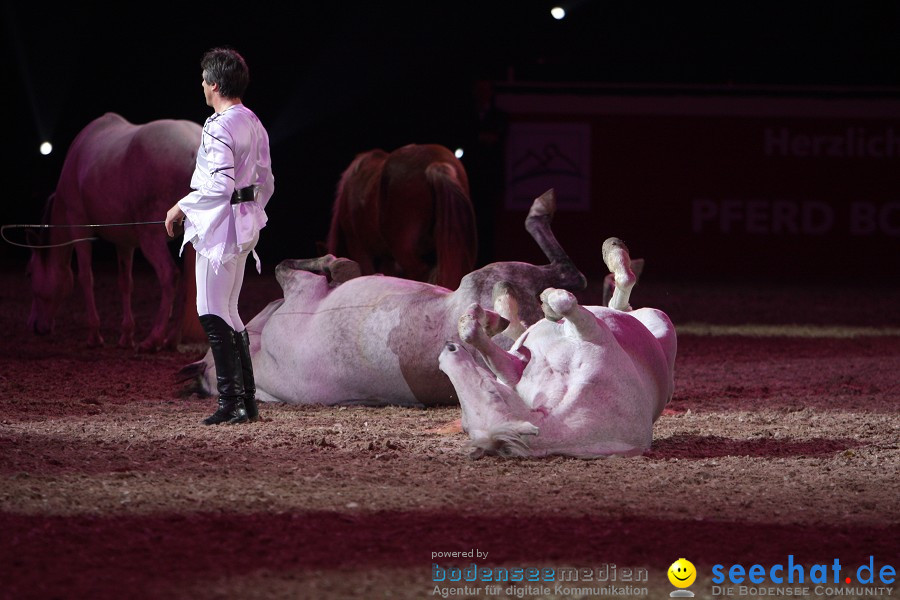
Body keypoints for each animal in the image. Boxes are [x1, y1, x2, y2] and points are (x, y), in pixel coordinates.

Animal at [26, 111, 200, 352]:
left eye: (30, 272)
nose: (34, 325)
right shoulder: (124, 243)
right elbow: (125, 282)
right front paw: (126, 335)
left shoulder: (79, 228)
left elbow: (86, 277)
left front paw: (94, 334)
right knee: (188, 283)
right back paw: (172, 338)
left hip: (151, 238)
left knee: (169, 276)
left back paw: (154, 337)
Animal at [182, 191, 588, 408]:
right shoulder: (299, 287)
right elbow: (289, 265)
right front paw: (337, 264)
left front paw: (339, 266)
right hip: (498, 277)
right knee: (568, 277)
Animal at [436, 239, 676, 460]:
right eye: (465, 425)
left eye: (490, 390)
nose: (448, 350)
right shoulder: (588, 333)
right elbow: (563, 303)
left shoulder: (588, 334)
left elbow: (561, 304)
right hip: (651, 318)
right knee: (620, 296)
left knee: (619, 297)